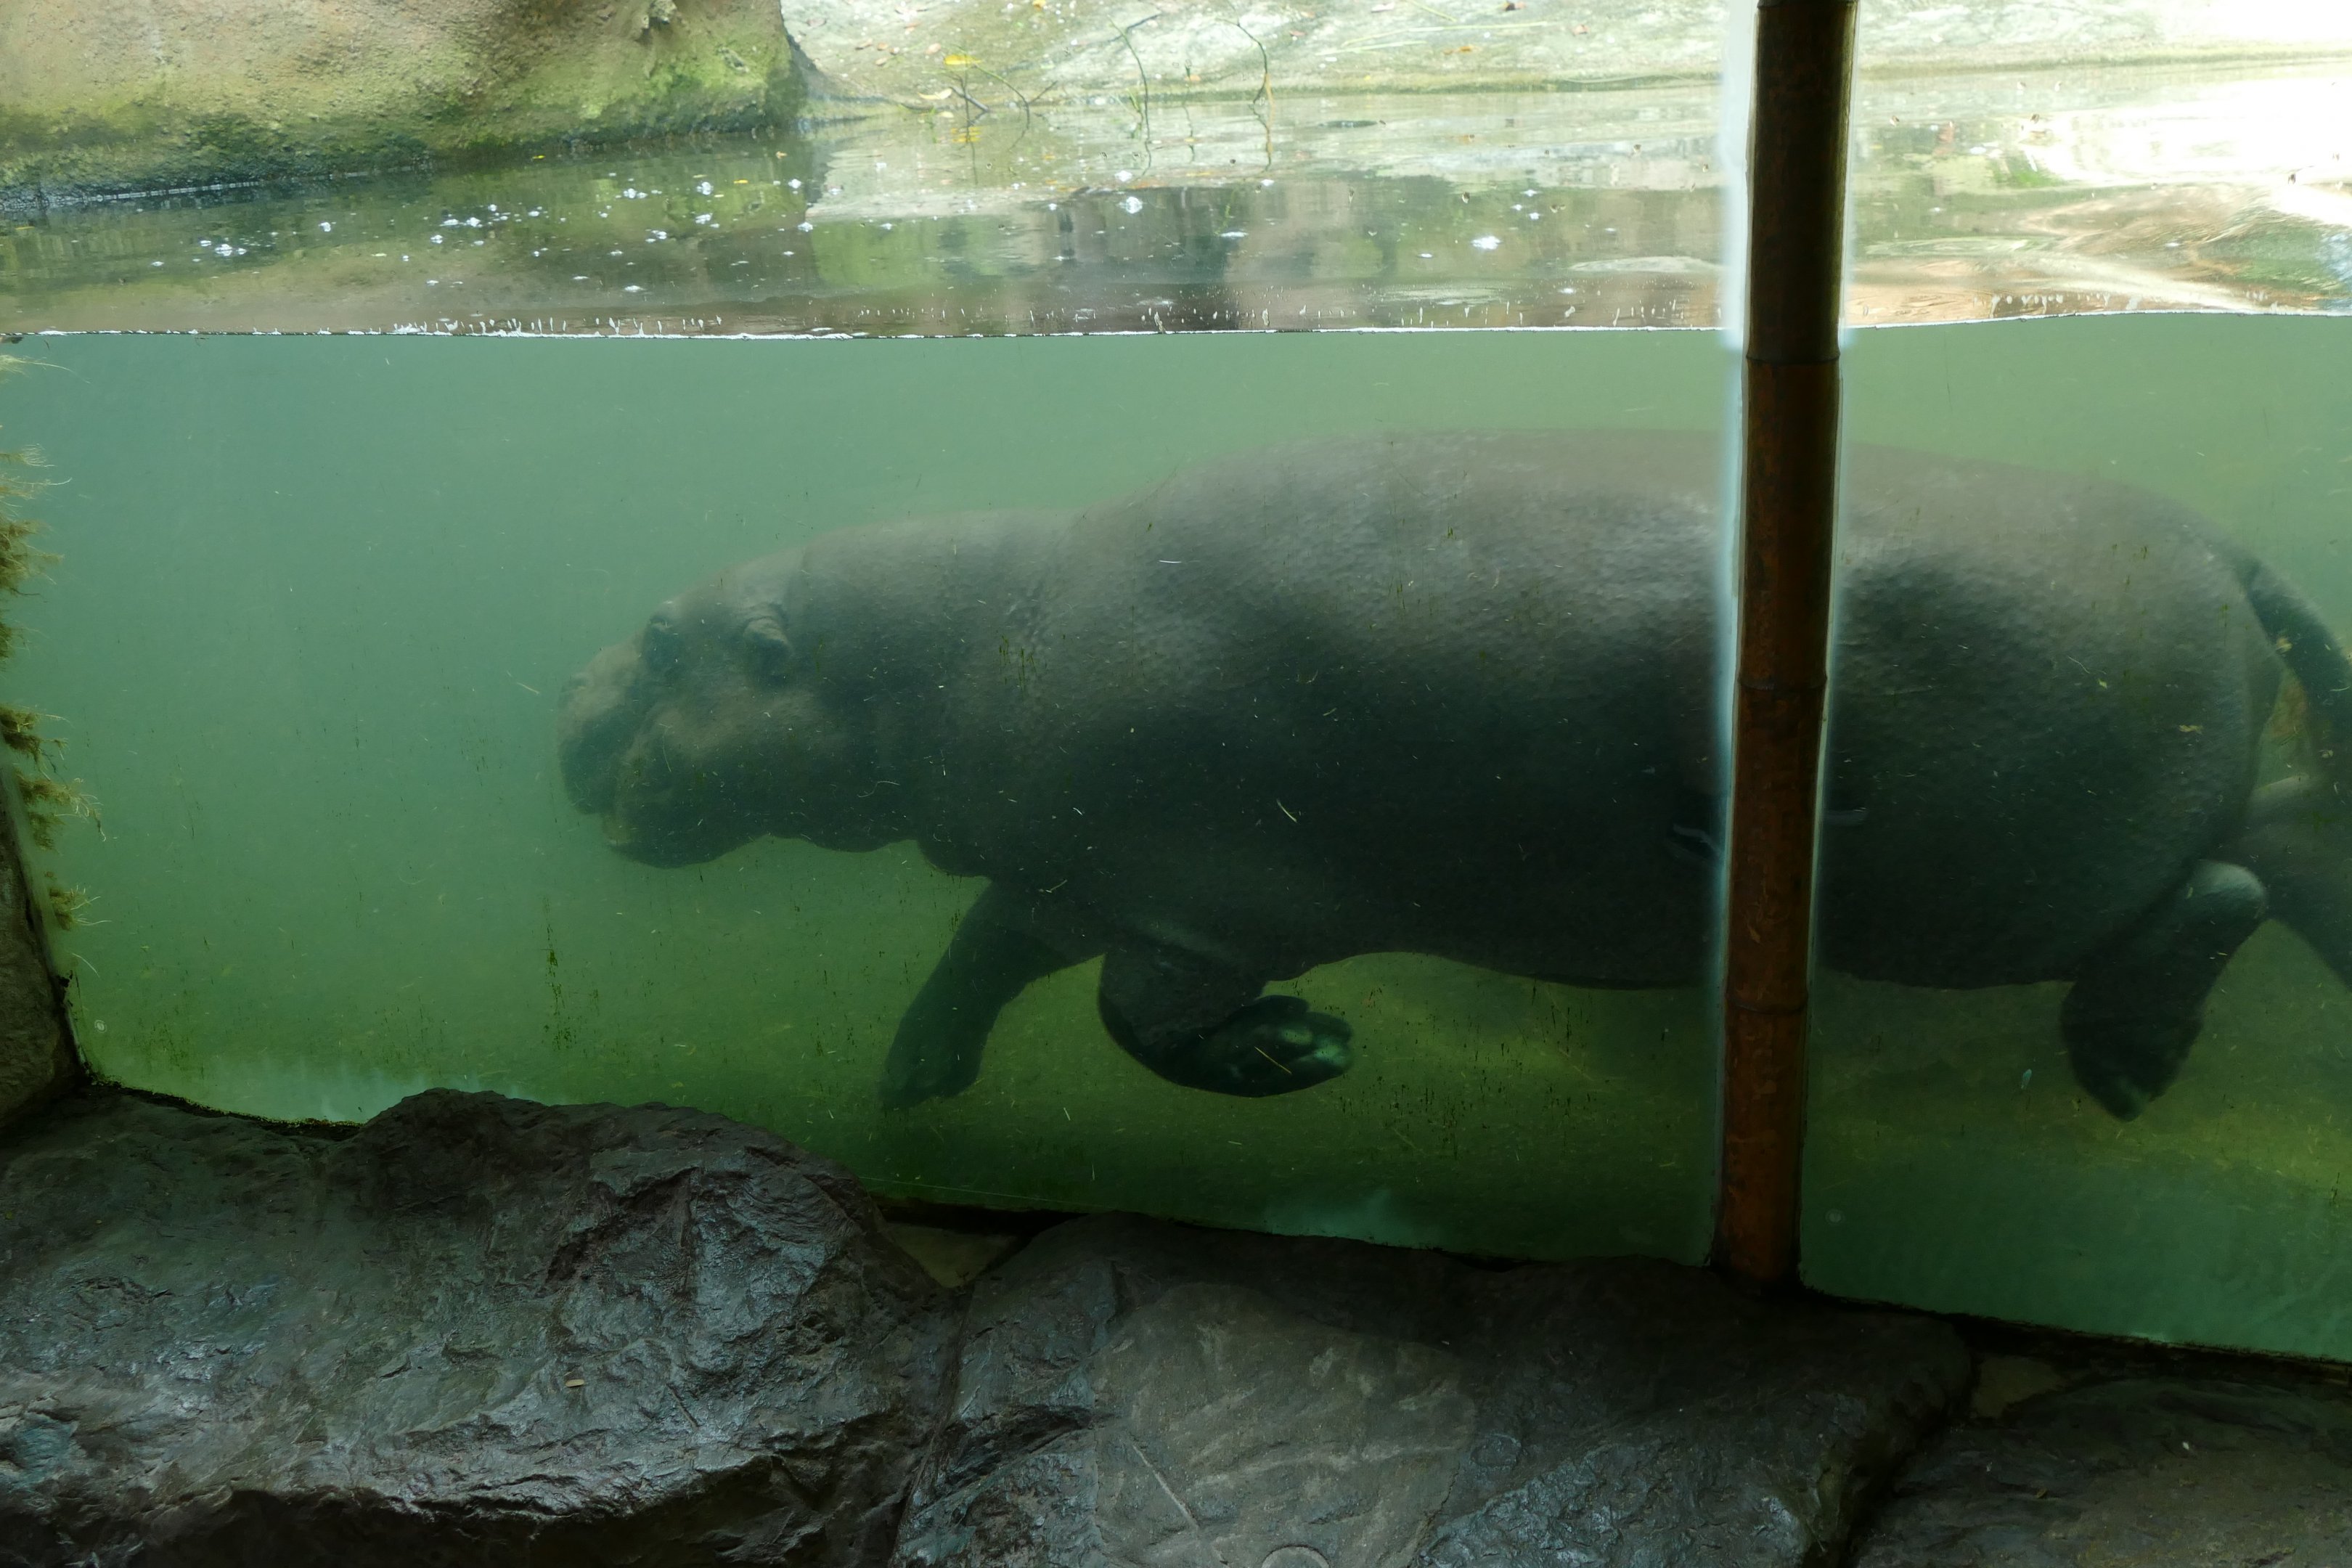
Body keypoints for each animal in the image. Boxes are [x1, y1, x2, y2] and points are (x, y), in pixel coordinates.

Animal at [558, 431, 2352, 1119]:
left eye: (664, 640)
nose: (566, 715)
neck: (956, 646)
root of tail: (2227, 548)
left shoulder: (1192, 898)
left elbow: (1141, 1018)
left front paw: (1308, 1053)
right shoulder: (1065, 870)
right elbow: (983, 951)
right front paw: (911, 1085)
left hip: (2000, 884)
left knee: (2223, 888)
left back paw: (2122, 1074)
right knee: (2274, 853)